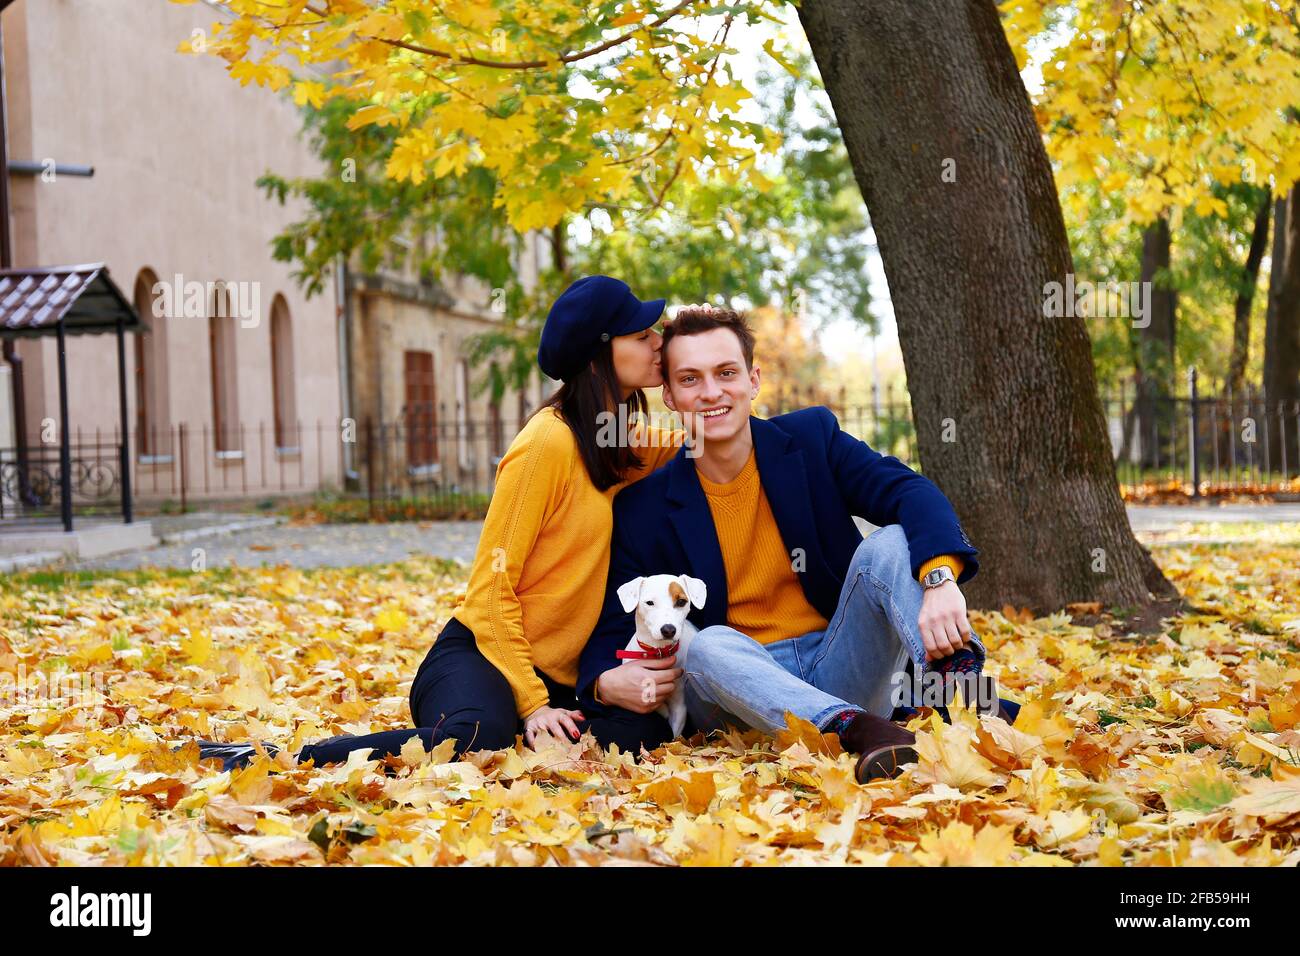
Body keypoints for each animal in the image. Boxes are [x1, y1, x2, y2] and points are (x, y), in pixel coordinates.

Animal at [613, 572, 707, 738]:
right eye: (649, 603)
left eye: (681, 602)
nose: (668, 629)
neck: (657, 652)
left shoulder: (679, 706)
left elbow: (674, 738)